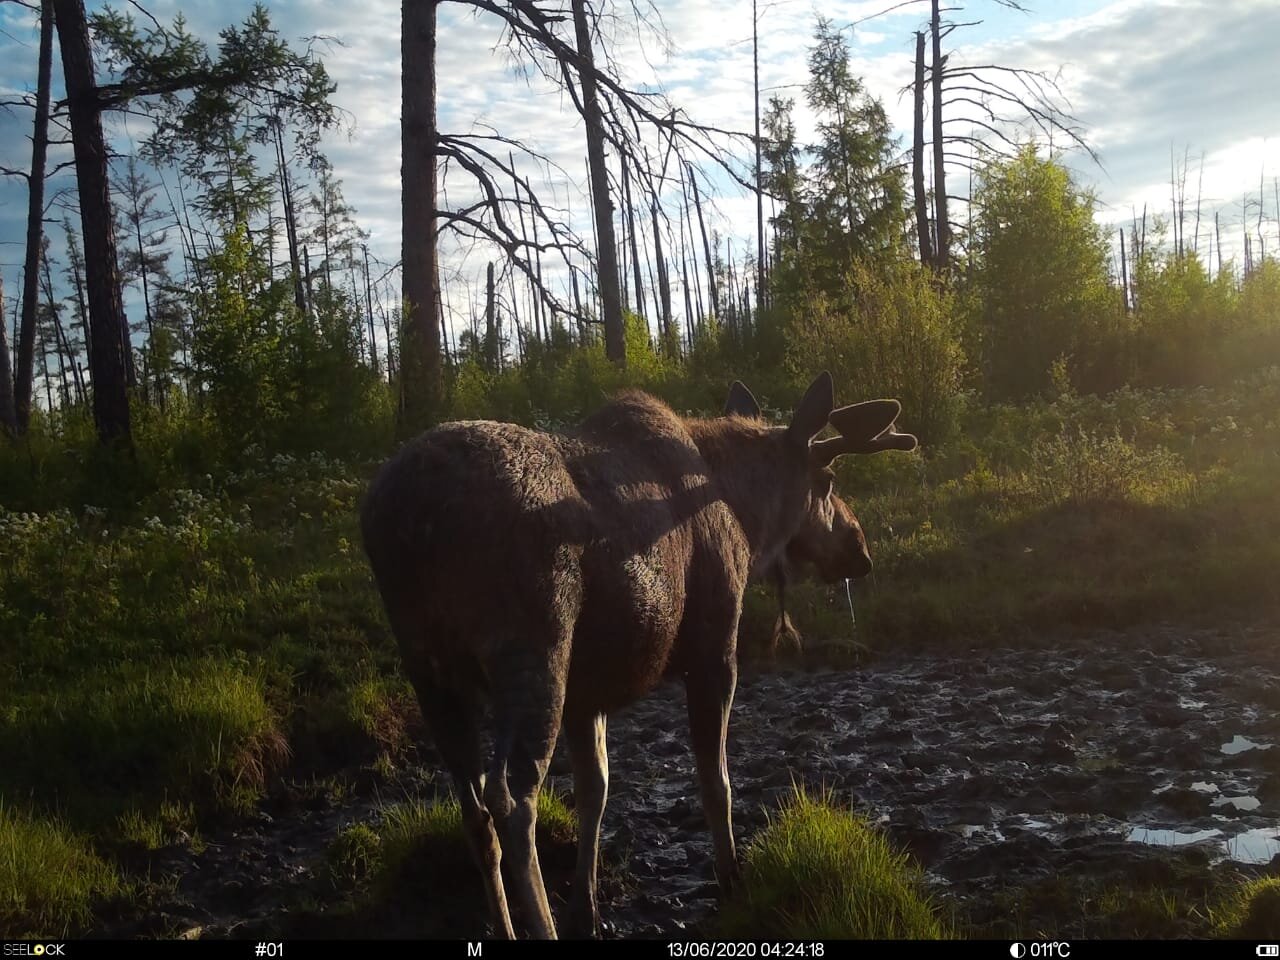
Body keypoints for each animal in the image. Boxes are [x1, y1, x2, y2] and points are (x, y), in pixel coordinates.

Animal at [360, 373, 916, 942]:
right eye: (827, 480)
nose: (860, 551)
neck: (749, 520)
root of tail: (404, 520)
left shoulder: (586, 694)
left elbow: (596, 791)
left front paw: (587, 910)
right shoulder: (715, 648)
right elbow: (716, 781)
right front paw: (731, 881)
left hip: (428, 672)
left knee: (473, 810)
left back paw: (505, 925)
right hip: (533, 650)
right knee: (512, 801)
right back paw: (540, 924)